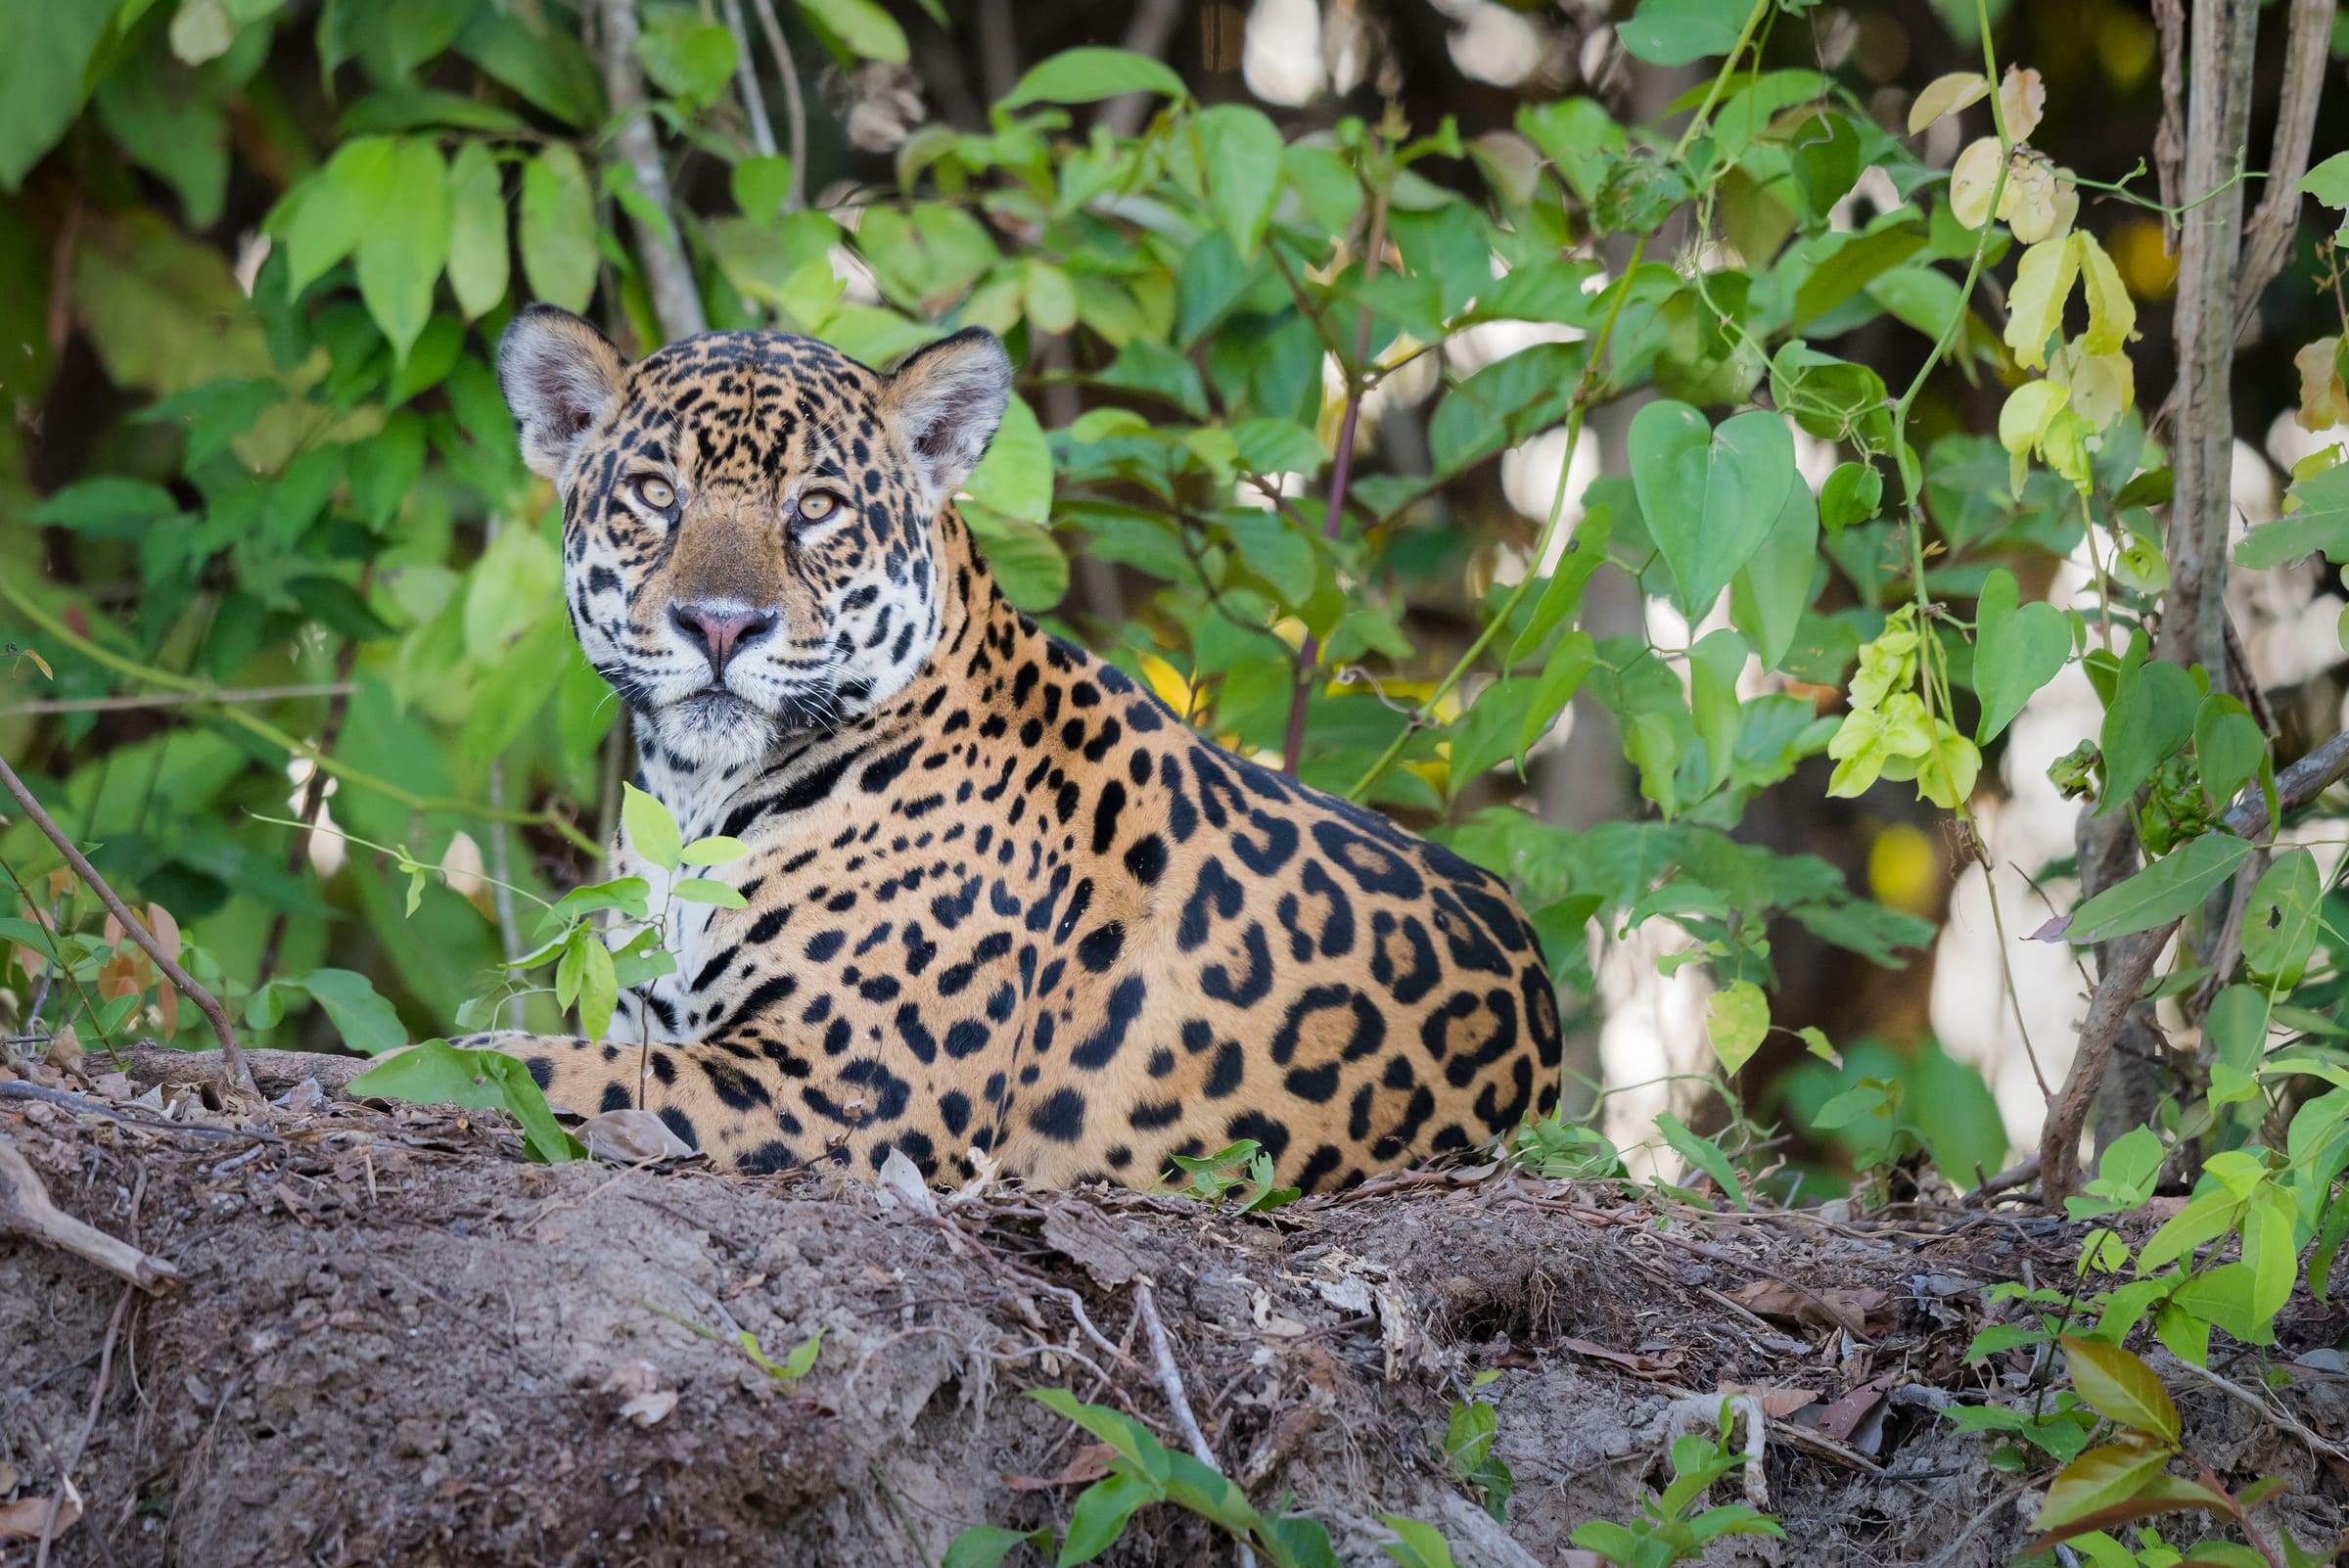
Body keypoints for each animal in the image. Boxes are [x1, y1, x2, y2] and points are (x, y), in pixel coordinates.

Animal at [467, 303, 1562, 1191]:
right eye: (656, 493)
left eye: (817, 506)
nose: (721, 625)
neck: (697, 798)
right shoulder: (656, 1019)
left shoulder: (837, 1091)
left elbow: (529, 1066)